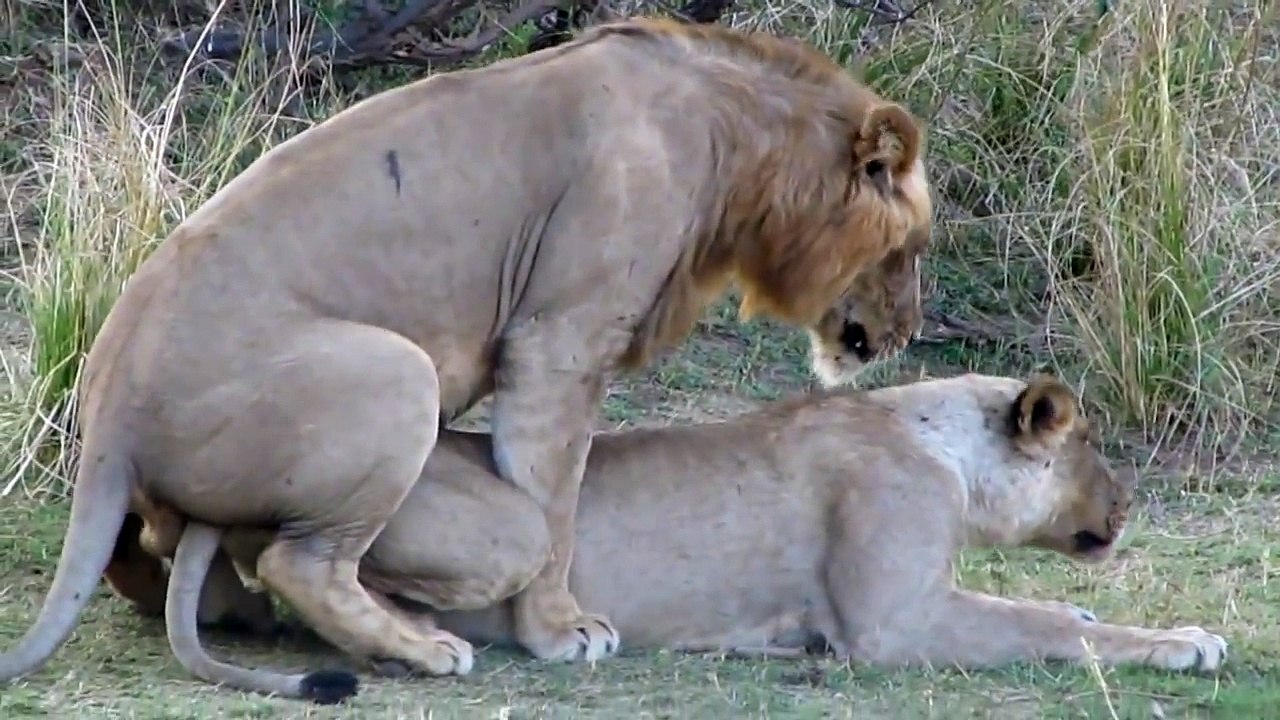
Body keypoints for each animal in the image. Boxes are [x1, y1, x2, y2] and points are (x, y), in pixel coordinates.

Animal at [0, 16, 935, 699]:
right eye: (913, 247)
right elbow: (552, 510)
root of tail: (106, 425)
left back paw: (244, 613)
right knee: (300, 561)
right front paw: (562, 631)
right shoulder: (560, 339)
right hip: (398, 372)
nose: (906, 334)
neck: (740, 156)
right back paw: (419, 648)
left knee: (161, 551)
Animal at [149, 373, 1227, 703]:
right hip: (475, 527)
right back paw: (416, 645)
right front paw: (1185, 642)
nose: (1127, 502)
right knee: (293, 561)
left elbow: (1050, 607)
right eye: (1089, 447)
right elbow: (1050, 624)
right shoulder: (893, 623)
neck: (943, 444)